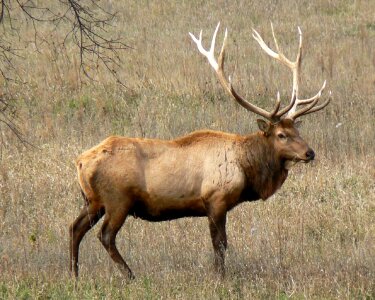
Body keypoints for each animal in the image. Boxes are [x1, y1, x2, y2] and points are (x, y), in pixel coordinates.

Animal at [70, 22, 332, 278]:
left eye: (297, 130)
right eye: (281, 135)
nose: (310, 153)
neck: (246, 169)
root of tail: (80, 161)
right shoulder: (216, 199)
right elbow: (220, 244)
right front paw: (220, 277)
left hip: (93, 200)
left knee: (75, 228)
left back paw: (75, 274)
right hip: (117, 199)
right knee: (105, 235)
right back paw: (129, 275)